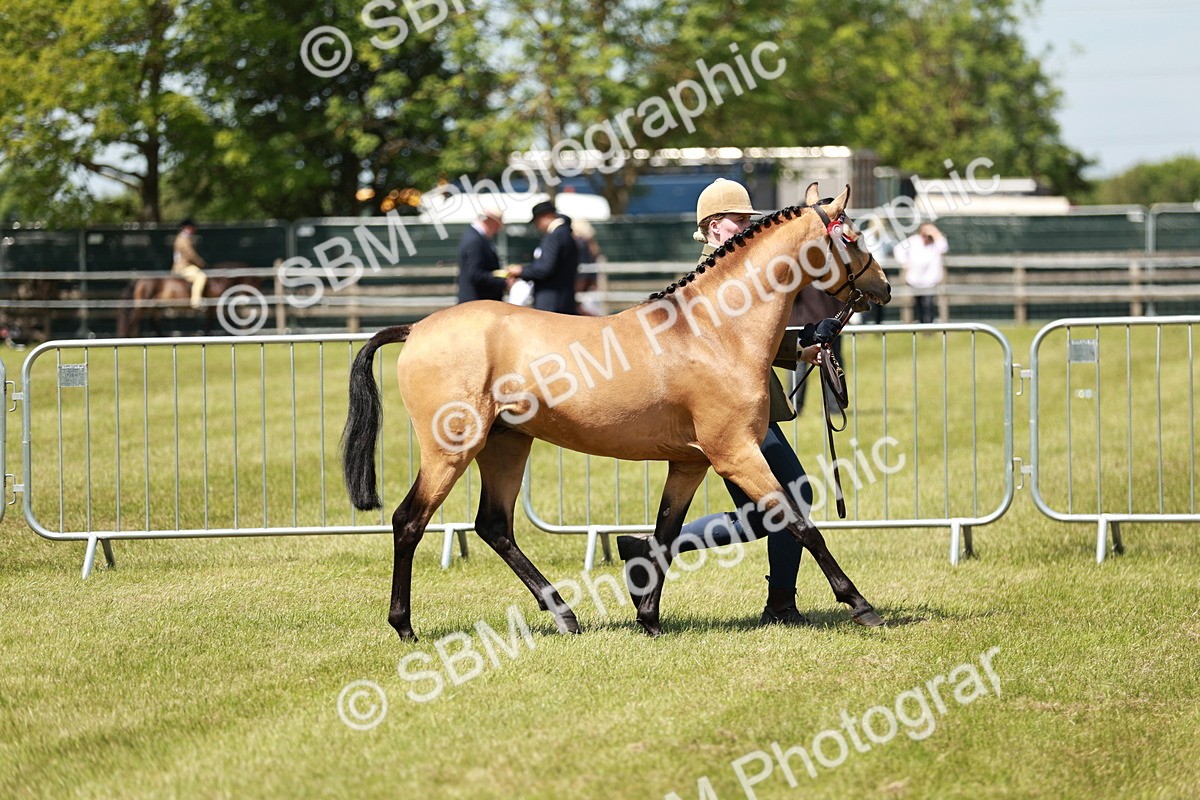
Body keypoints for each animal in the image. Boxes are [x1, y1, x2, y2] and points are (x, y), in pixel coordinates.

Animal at [116, 262, 264, 336]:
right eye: (255, 283)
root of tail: (138, 280)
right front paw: (207, 334)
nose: (250, 299)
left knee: (155, 323)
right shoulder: (214, 306)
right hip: (143, 306)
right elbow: (212, 321)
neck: (218, 281)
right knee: (133, 321)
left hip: (154, 307)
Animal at [342, 184, 892, 641]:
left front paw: (647, 615)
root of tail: (416, 328)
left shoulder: (691, 462)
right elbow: (800, 524)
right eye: (853, 236)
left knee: (495, 527)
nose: (883, 287)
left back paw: (565, 615)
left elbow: (667, 534)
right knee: (409, 521)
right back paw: (405, 627)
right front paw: (861, 605)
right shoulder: (735, 453)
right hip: (452, 449)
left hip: (506, 443)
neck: (715, 330)